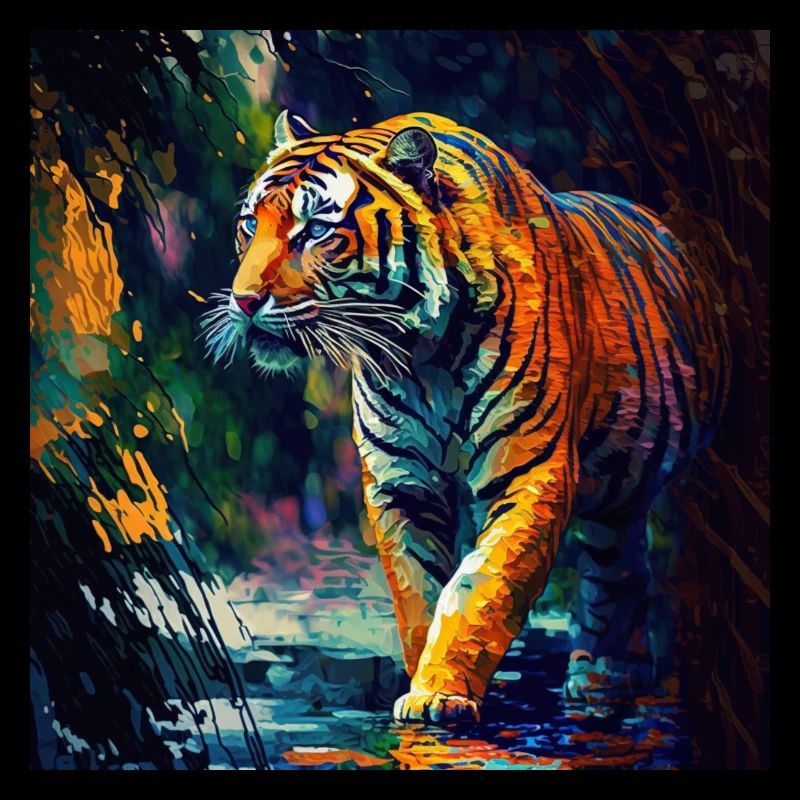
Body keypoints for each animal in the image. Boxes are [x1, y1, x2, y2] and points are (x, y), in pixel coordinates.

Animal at [202, 109, 731, 724]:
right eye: (249, 225)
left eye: (314, 232)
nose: (242, 302)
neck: (420, 355)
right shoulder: (401, 484)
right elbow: (417, 595)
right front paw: (427, 681)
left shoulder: (530, 473)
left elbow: (479, 588)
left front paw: (440, 693)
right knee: (622, 566)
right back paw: (610, 673)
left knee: (622, 570)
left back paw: (605, 676)